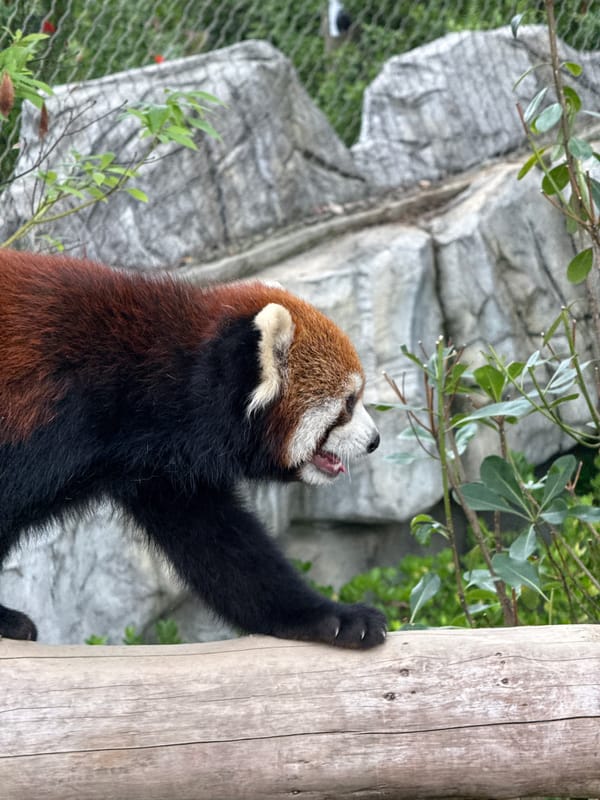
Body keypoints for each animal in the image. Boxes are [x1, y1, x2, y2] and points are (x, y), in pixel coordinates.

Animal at [0, 249, 386, 648]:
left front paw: (329, 618)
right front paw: (4, 620)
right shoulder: (51, 424)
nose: (375, 440)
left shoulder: (161, 465)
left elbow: (222, 547)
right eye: (348, 403)